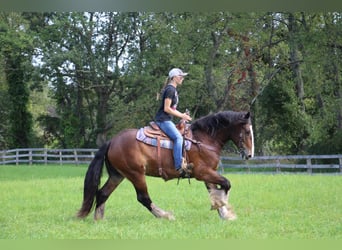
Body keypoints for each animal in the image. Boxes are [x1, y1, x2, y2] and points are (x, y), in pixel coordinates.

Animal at [77, 110, 254, 220]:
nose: (250, 155)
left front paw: (224, 213)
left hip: (117, 175)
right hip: (136, 174)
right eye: (246, 131)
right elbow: (226, 184)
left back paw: (99, 219)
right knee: (143, 198)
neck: (203, 140)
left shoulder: (209, 173)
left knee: (102, 193)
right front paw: (223, 207)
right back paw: (165, 215)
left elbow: (216, 190)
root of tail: (112, 141)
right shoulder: (202, 172)